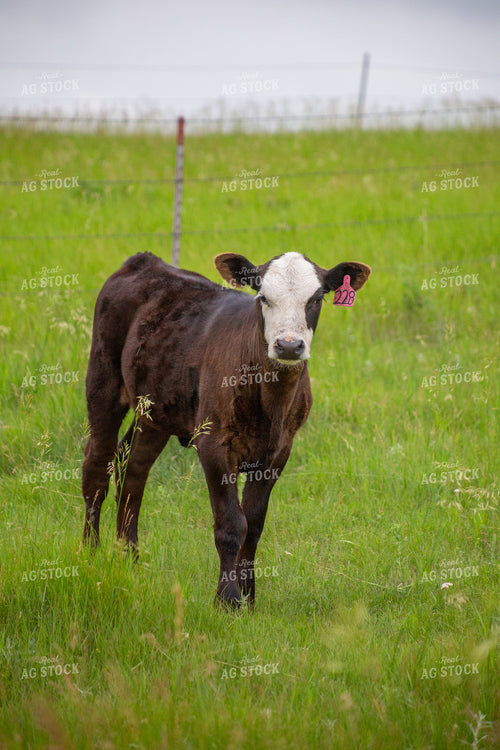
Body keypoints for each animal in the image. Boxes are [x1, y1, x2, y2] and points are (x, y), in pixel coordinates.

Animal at [82, 251, 371, 607]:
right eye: (263, 297)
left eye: (316, 299)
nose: (289, 345)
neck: (270, 400)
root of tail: (145, 261)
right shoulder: (214, 444)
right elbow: (232, 524)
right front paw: (228, 599)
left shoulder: (280, 451)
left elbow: (254, 524)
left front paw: (249, 594)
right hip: (103, 382)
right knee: (96, 468)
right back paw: (90, 555)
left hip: (154, 411)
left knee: (132, 470)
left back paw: (129, 558)